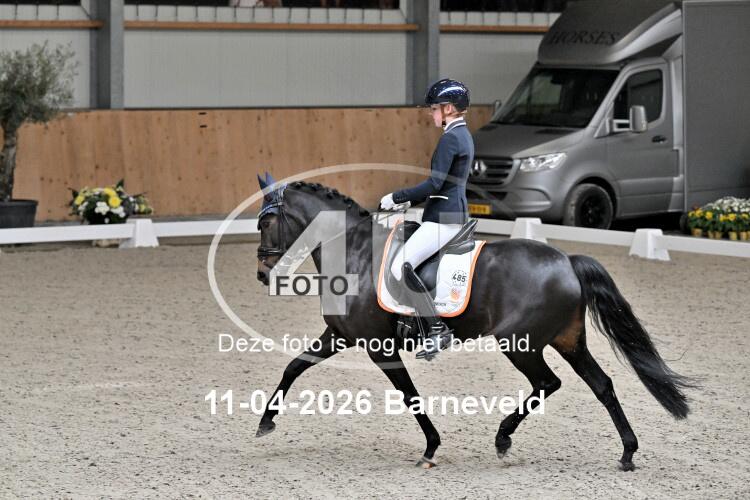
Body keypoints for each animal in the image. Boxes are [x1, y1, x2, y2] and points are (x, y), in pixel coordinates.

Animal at [253, 177, 692, 471]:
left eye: (266, 223)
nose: (261, 274)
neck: (356, 253)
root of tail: (567, 261)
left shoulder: (378, 347)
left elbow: (408, 394)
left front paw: (430, 448)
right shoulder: (340, 336)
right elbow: (294, 366)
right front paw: (265, 422)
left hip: (520, 343)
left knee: (548, 382)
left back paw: (503, 438)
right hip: (569, 341)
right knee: (602, 385)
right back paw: (627, 452)